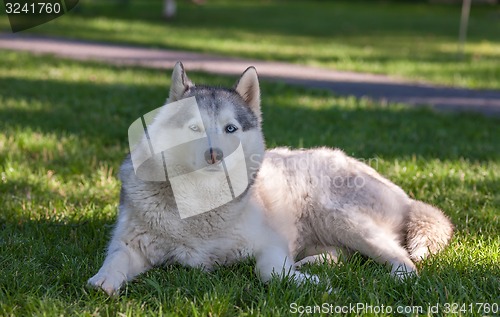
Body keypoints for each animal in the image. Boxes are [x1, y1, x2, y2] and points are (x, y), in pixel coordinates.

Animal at [88, 63, 456, 296]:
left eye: (231, 128)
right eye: (193, 127)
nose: (214, 155)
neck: (201, 205)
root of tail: (404, 195)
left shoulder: (270, 244)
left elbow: (267, 271)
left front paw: (309, 284)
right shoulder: (130, 243)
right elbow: (114, 260)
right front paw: (102, 282)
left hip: (340, 217)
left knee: (403, 259)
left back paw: (392, 277)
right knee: (343, 255)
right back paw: (315, 262)